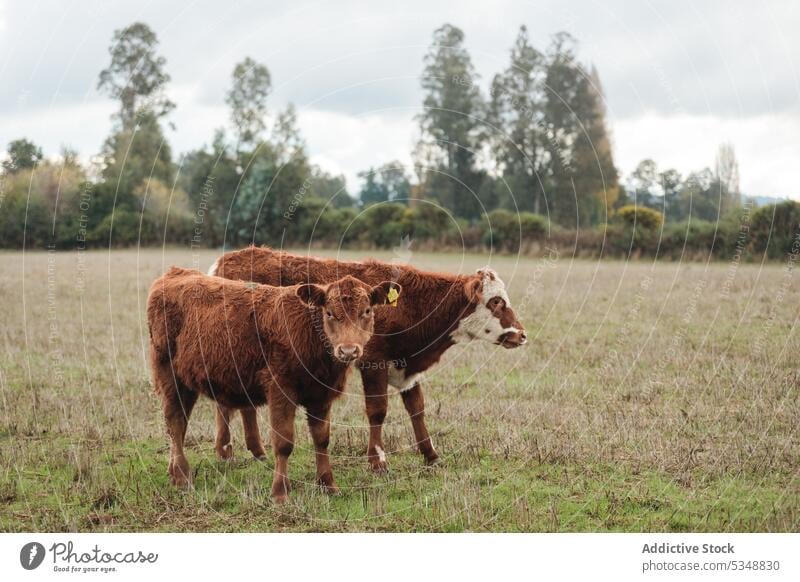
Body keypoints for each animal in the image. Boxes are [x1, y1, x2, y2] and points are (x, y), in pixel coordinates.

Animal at [146, 266, 400, 504]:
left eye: (366, 311)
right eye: (329, 312)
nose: (348, 350)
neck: (310, 332)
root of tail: (175, 274)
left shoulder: (321, 396)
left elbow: (322, 439)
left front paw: (328, 485)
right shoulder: (280, 390)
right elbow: (284, 442)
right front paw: (280, 493)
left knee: (178, 425)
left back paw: (174, 472)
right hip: (169, 376)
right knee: (175, 422)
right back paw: (182, 477)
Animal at [209, 246, 528, 474]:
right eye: (496, 302)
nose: (522, 335)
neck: (411, 303)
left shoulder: (406, 367)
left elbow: (417, 409)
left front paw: (431, 455)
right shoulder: (373, 363)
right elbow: (378, 411)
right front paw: (378, 461)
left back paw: (255, 451)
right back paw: (226, 451)